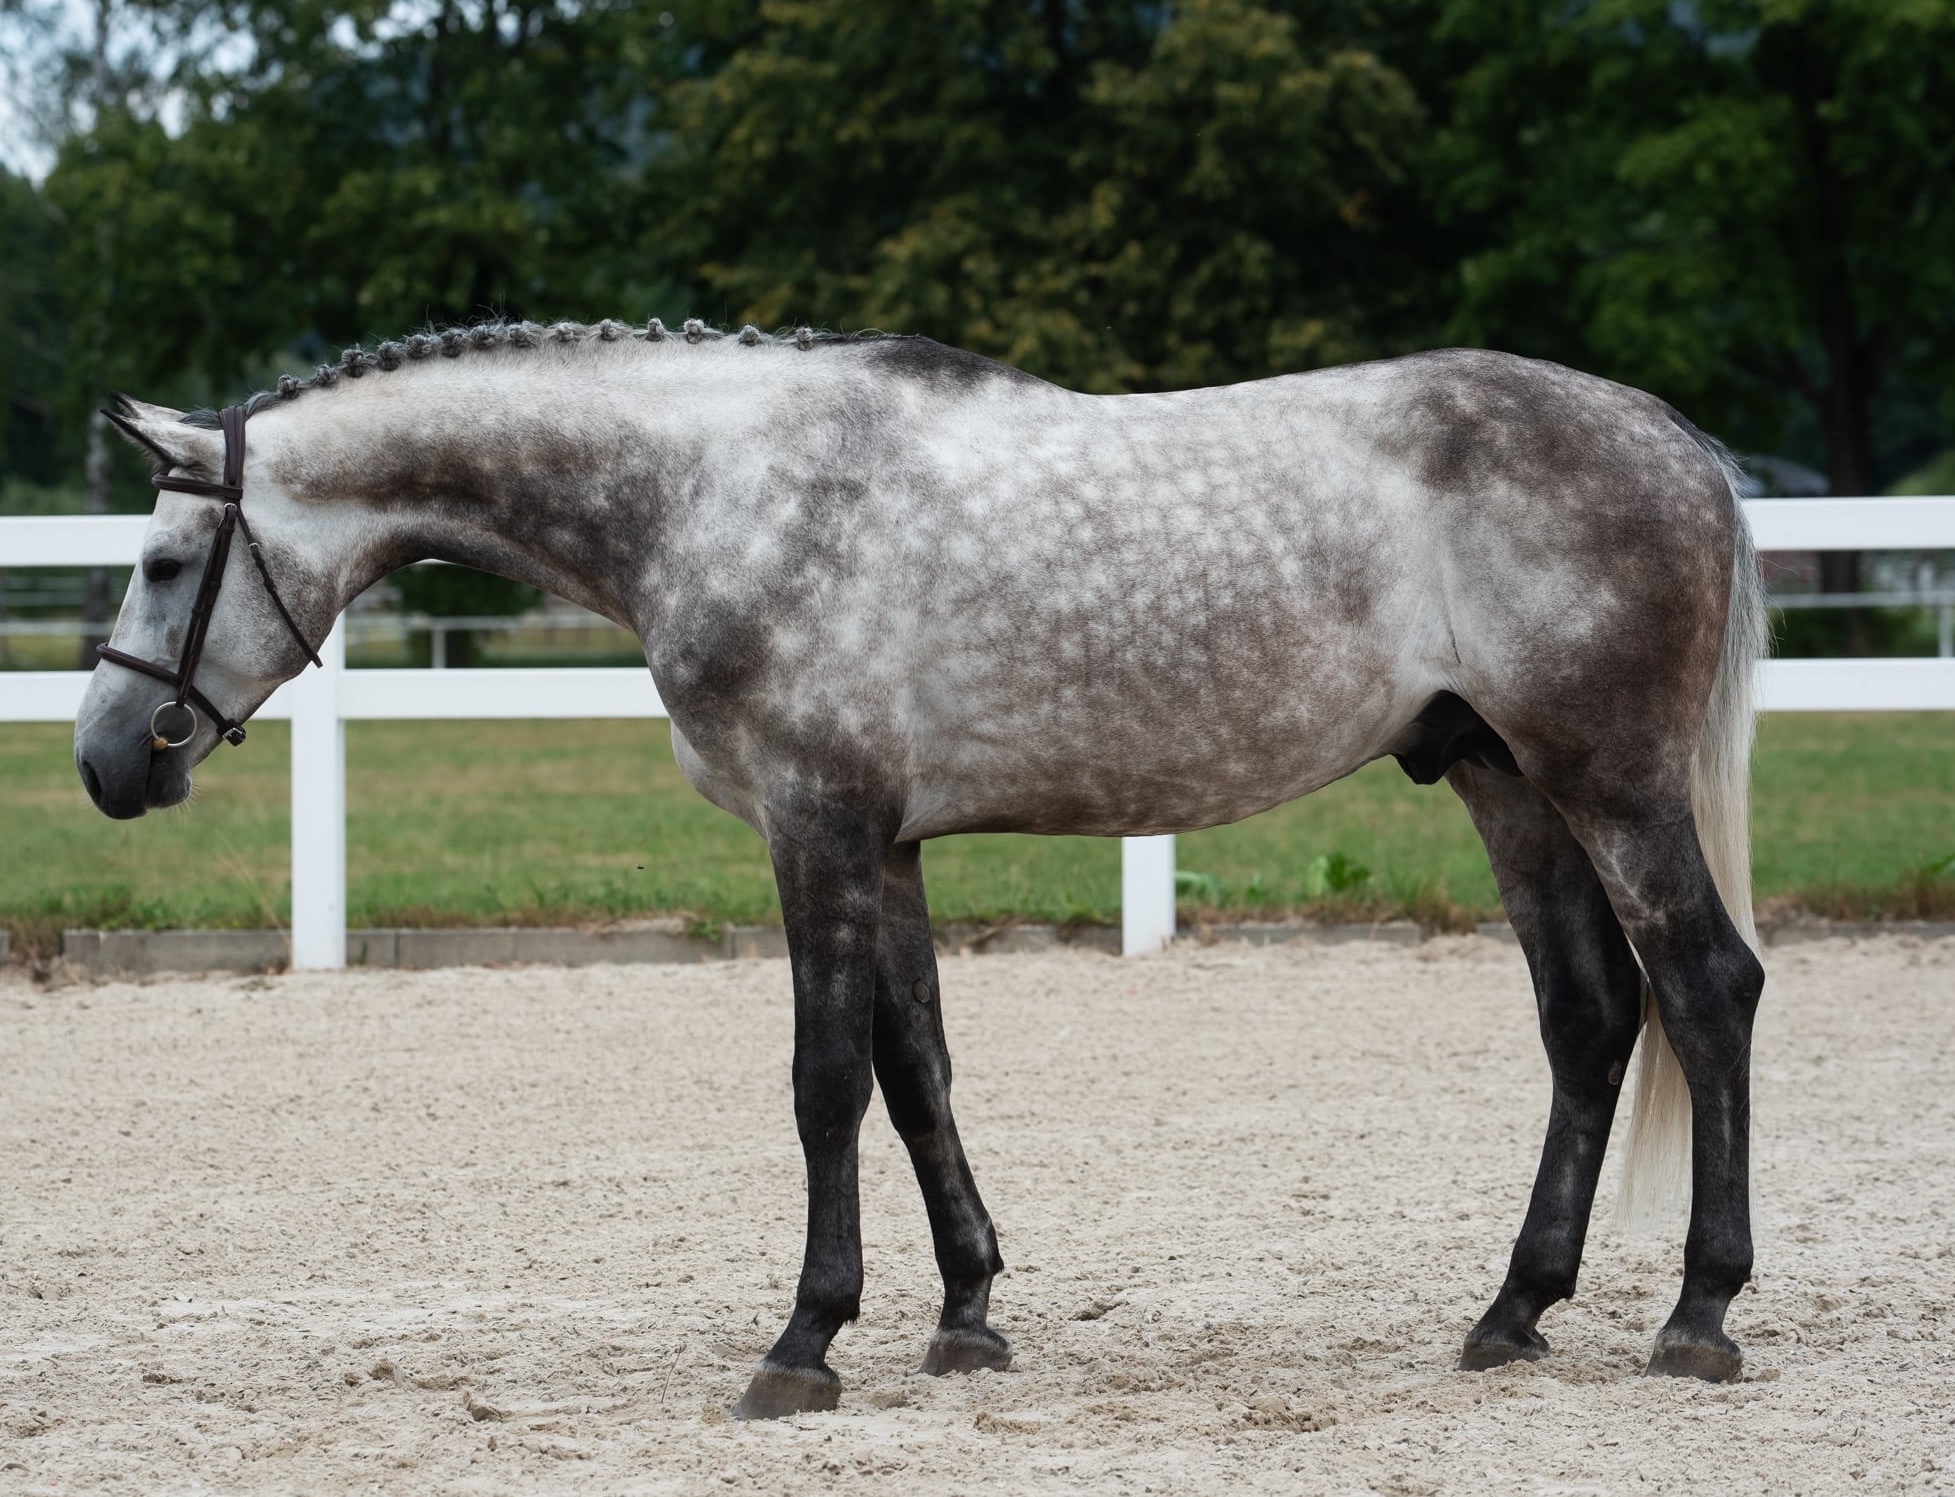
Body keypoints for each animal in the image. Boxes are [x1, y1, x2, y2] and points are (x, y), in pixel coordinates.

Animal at [74, 318, 1767, 1418]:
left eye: (161, 563)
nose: (103, 763)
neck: (724, 489)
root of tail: (1672, 435)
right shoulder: (881, 844)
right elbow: (915, 1071)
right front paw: (965, 1315)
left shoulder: (814, 825)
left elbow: (824, 1078)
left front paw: (803, 1341)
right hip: (1500, 779)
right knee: (1586, 1017)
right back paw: (1512, 1311)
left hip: (1604, 781)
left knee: (1703, 988)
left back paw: (1696, 1313)